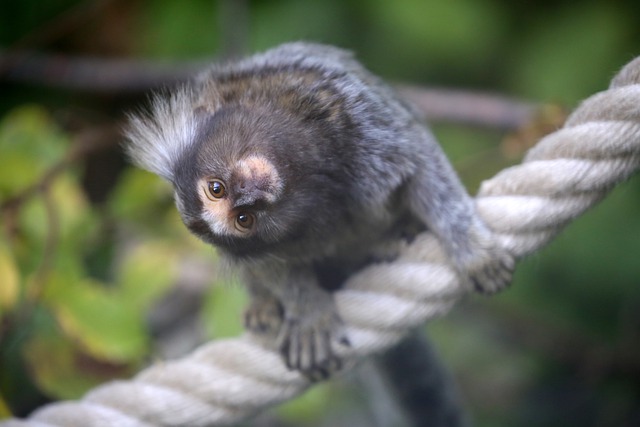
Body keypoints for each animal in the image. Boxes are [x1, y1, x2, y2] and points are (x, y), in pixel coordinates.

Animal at [126, 42, 516, 378]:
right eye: (244, 220)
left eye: (216, 189)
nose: (248, 197)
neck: (305, 169)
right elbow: (276, 269)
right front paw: (309, 314)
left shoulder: (353, 112)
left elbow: (420, 166)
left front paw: (472, 250)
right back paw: (264, 308)